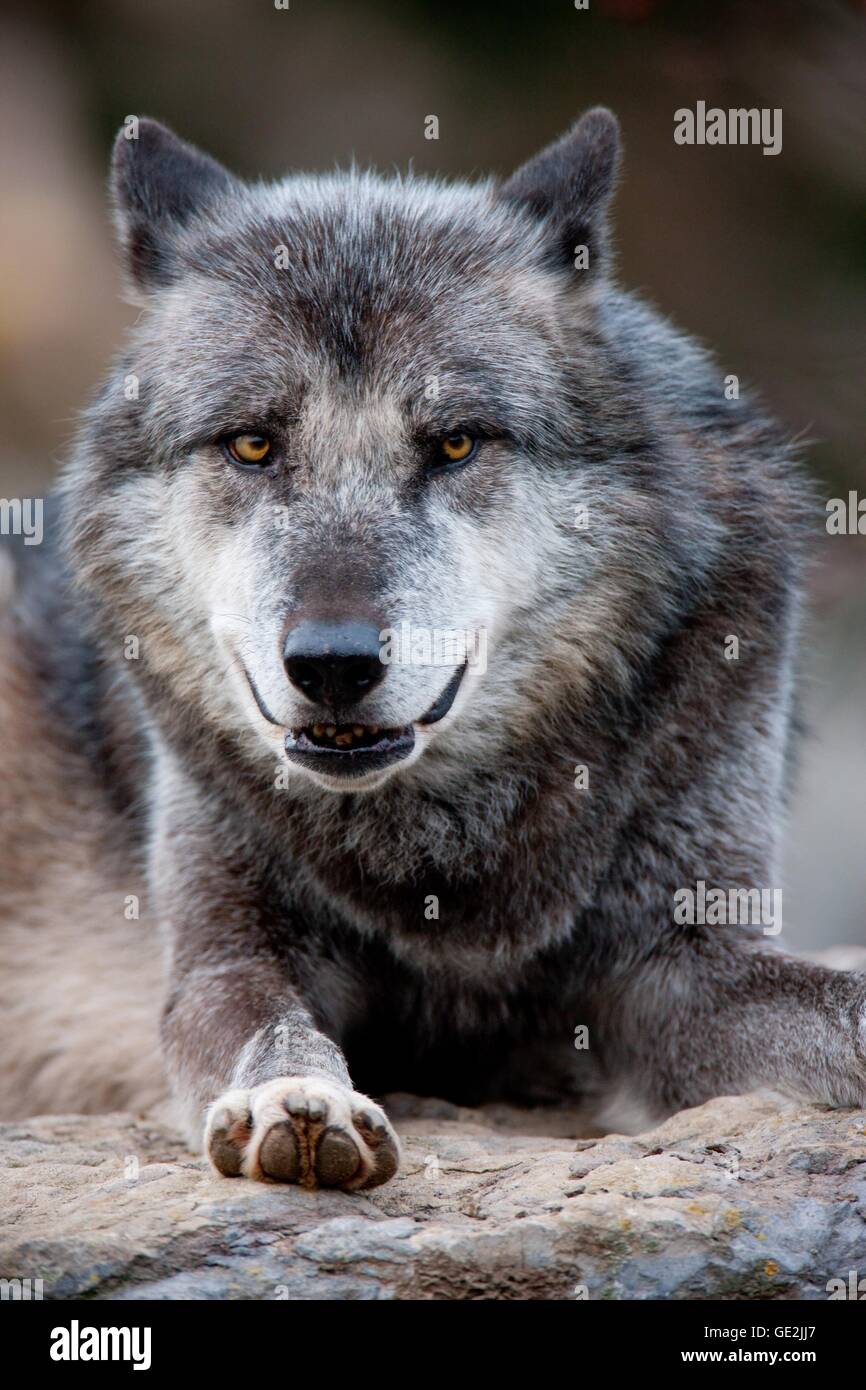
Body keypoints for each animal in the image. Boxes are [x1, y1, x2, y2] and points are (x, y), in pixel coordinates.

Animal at [1, 111, 866, 1195]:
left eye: (454, 443)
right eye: (252, 445)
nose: (330, 664)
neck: (444, 852)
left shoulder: (684, 964)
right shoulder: (222, 954)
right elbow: (260, 1025)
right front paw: (299, 1103)